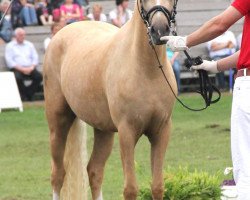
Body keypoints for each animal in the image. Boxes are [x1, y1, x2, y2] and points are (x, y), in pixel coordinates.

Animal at [44, 0, 177, 199]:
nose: (159, 30)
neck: (147, 70)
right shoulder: (126, 132)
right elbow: (130, 188)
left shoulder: (161, 131)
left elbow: (158, 186)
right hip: (58, 124)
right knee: (57, 174)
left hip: (103, 130)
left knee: (94, 171)